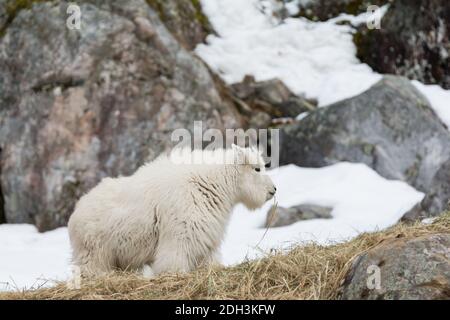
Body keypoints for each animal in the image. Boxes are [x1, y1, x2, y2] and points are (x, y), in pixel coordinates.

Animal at [68, 146, 276, 278]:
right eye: (257, 168)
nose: (273, 190)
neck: (212, 183)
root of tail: (75, 213)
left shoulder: (206, 235)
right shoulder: (181, 230)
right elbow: (174, 257)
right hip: (94, 249)